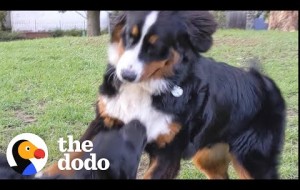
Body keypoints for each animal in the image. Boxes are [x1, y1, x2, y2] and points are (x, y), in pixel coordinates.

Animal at [42, 11, 286, 180]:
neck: (145, 89)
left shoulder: (168, 152)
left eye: (156, 45)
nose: (126, 75)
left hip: (252, 159)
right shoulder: (106, 118)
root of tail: (264, 80)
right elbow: (74, 154)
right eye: (129, 37)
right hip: (208, 156)